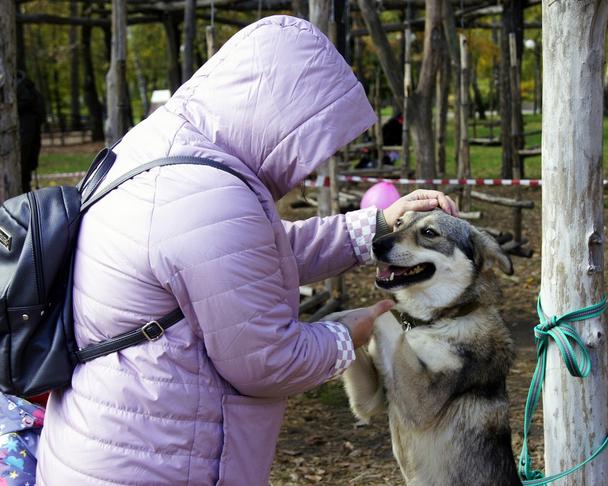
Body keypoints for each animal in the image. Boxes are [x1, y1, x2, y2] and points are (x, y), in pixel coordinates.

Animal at [340, 210, 520, 486]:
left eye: (429, 233)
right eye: (399, 222)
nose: (375, 244)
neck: (438, 320)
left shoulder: (420, 401)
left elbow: (385, 316)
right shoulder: (369, 401)